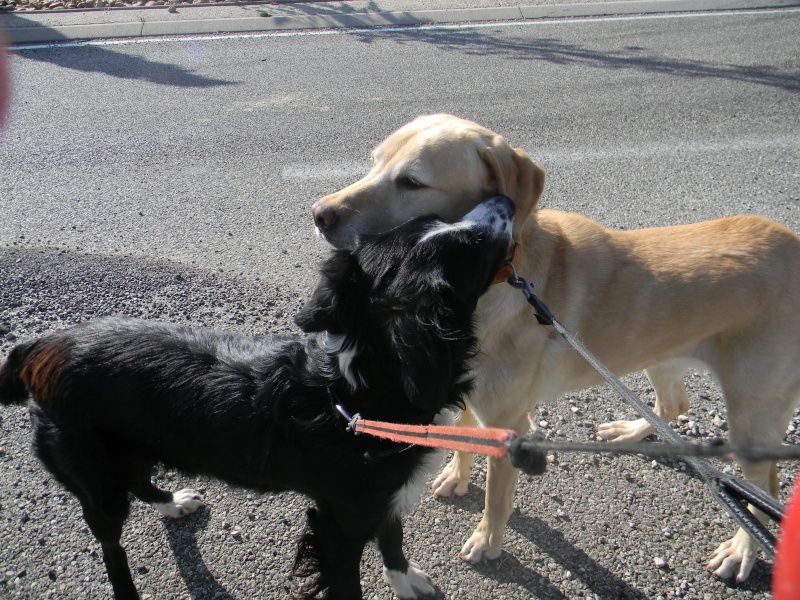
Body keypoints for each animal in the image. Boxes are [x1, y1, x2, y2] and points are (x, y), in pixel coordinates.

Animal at [0, 197, 516, 600]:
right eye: (472, 249)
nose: (507, 201)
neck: (359, 390)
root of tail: (39, 347)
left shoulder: (384, 496)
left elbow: (393, 540)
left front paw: (406, 581)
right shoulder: (339, 523)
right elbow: (350, 578)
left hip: (133, 447)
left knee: (143, 482)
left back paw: (174, 503)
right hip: (96, 477)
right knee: (112, 546)